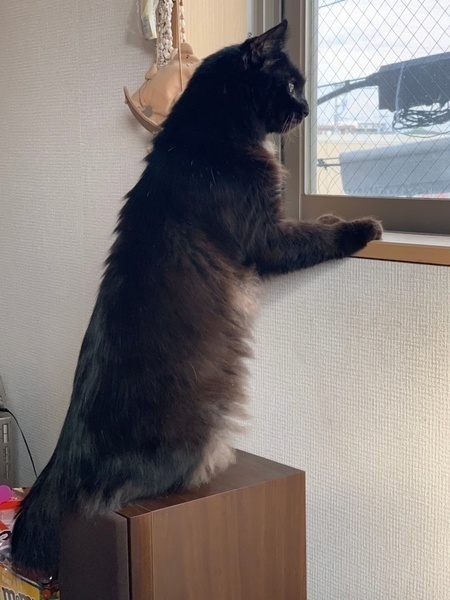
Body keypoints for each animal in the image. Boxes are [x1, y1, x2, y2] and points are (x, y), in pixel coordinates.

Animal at [11, 19, 381, 576]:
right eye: (291, 84)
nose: (306, 109)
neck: (206, 134)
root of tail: (66, 452)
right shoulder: (266, 235)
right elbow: (316, 236)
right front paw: (362, 226)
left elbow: (316, 225)